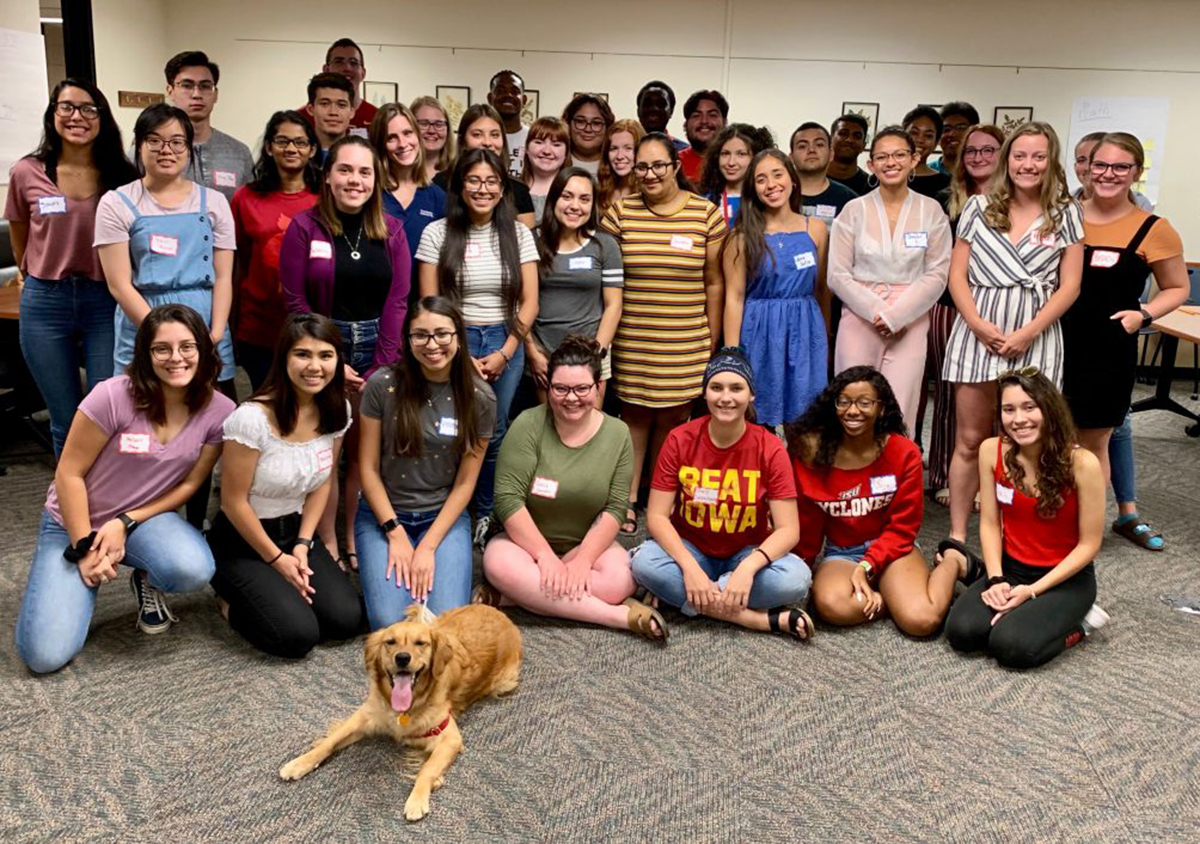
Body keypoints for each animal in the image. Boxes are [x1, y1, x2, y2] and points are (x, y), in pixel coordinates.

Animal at [283, 605, 528, 821]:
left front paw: (418, 799)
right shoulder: (366, 715)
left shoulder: (450, 737)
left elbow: (427, 769)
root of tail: (499, 612)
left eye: (421, 643)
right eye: (390, 642)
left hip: (505, 682)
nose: (402, 658)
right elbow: (330, 741)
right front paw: (300, 762)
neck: (404, 709)